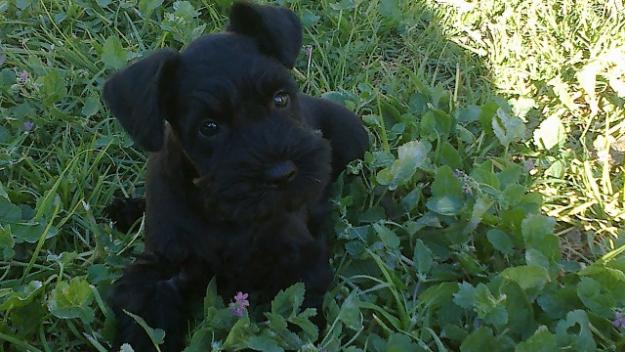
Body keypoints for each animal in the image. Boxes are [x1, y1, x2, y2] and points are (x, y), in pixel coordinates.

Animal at [101, 1, 366, 350]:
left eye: (280, 98)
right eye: (209, 127)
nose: (282, 174)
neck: (221, 209)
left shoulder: (299, 257)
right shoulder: (160, 272)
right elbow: (144, 323)